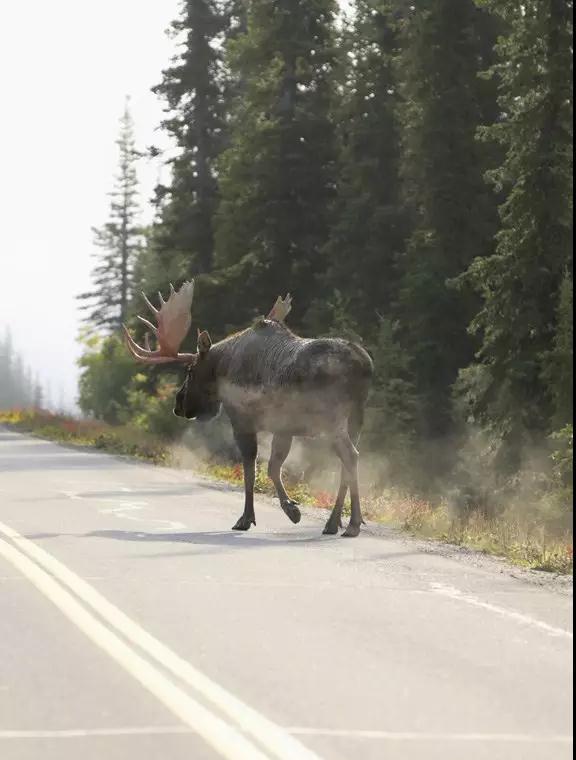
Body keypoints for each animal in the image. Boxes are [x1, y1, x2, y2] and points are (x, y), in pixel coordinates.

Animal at [122, 282, 374, 536]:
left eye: (191, 370)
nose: (179, 405)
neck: (222, 368)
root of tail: (364, 365)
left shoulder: (243, 421)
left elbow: (250, 470)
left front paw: (251, 517)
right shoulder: (283, 428)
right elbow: (272, 467)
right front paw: (290, 508)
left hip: (332, 419)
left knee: (351, 456)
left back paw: (352, 524)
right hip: (356, 419)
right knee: (346, 464)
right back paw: (334, 522)